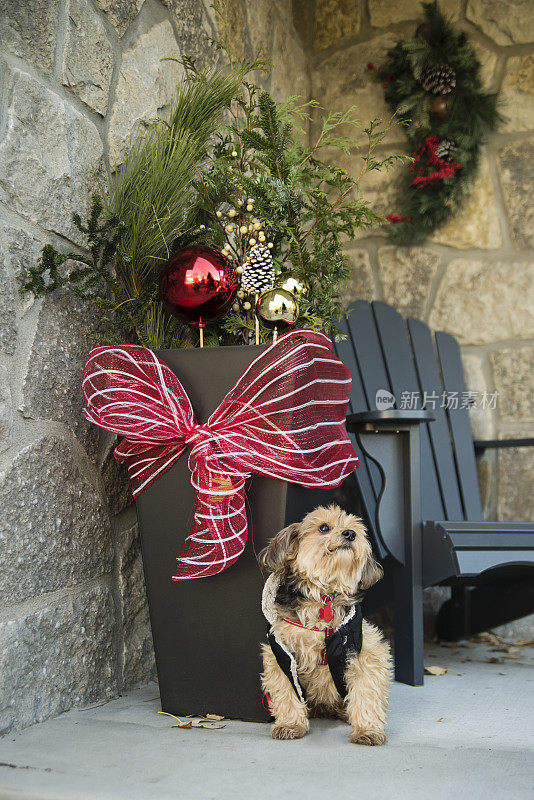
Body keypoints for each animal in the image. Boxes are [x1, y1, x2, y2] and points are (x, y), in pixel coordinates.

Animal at [262, 506, 392, 744]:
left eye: (356, 529)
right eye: (324, 527)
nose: (350, 534)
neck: (324, 596)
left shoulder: (366, 651)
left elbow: (367, 691)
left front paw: (367, 730)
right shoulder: (281, 654)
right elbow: (287, 691)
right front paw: (290, 724)